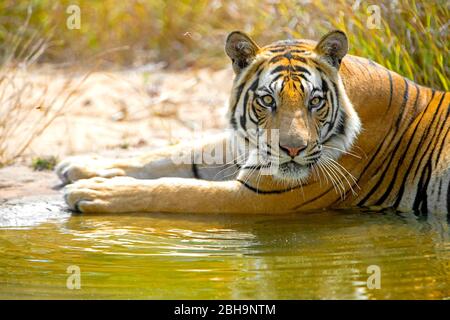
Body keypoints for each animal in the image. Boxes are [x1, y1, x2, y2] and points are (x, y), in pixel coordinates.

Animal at [54, 30, 448, 215]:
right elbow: (171, 154)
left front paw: (93, 192)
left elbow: (177, 189)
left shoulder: (260, 196)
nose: (293, 150)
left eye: (315, 102)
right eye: (268, 100)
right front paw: (81, 165)